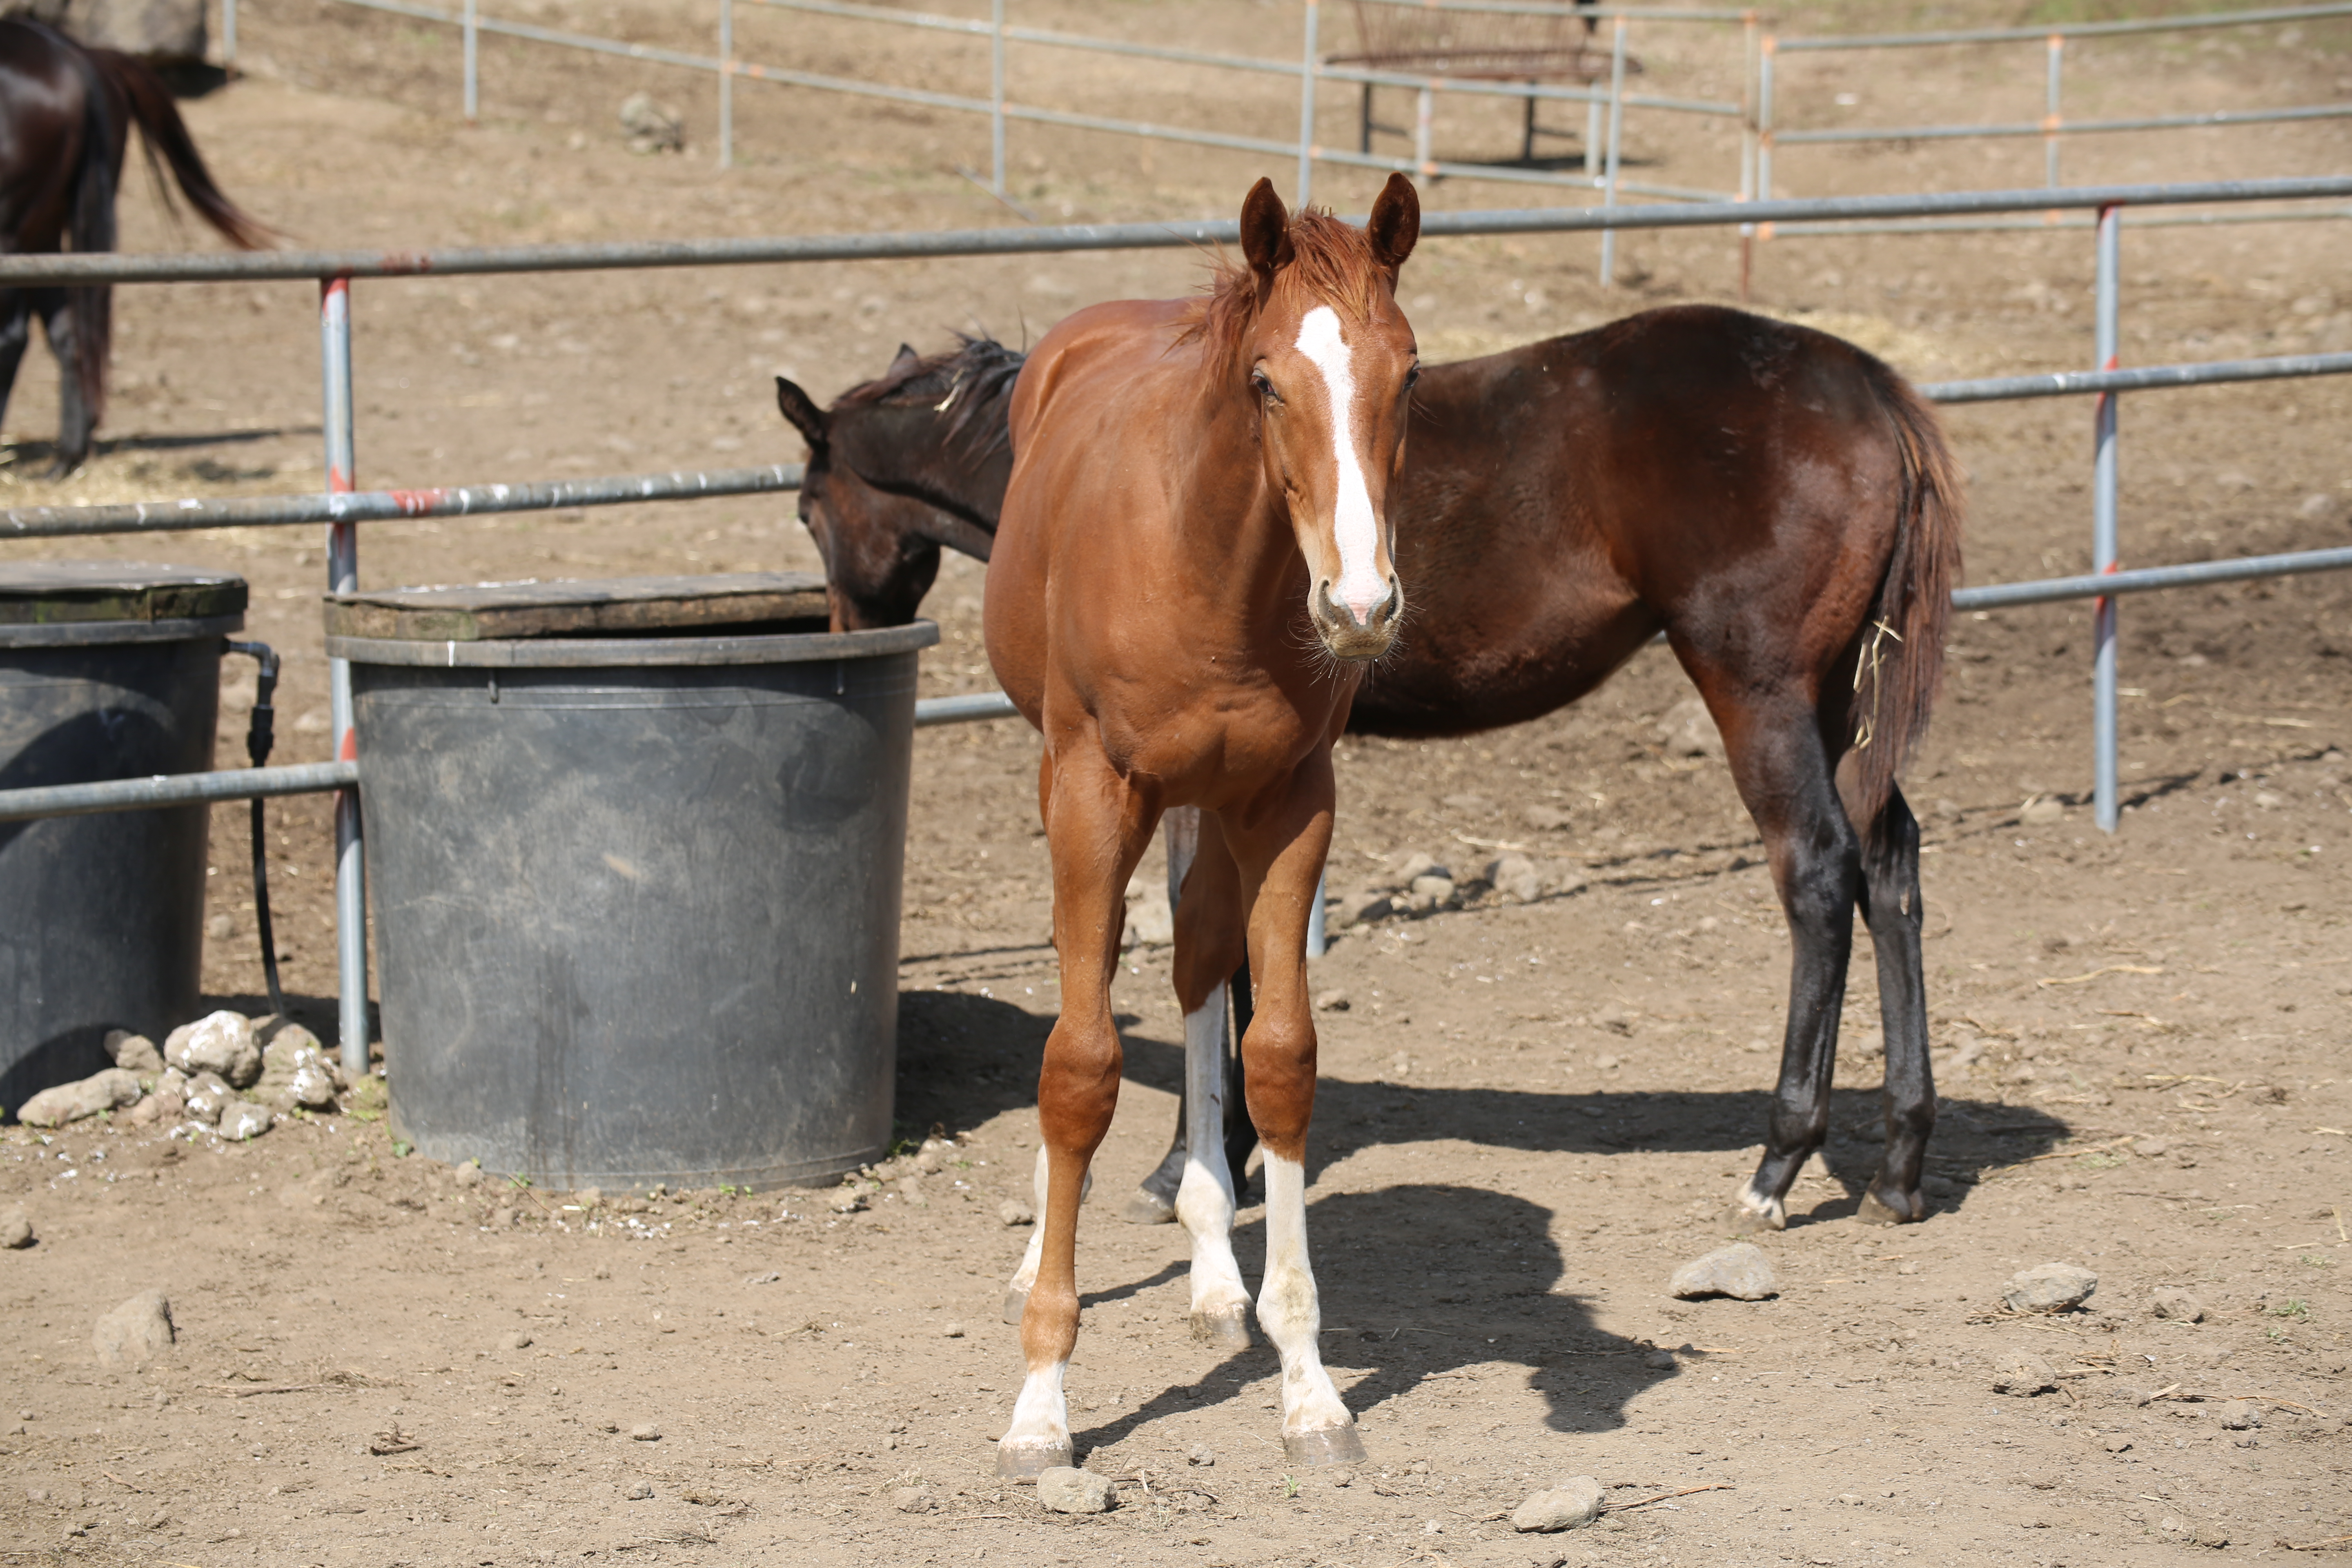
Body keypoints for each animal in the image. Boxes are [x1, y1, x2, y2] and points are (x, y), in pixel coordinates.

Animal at [0, 18, 268, 474]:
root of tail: (75, 57)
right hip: (43, 231)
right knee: (68, 330)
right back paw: (67, 455)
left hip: (16, 230)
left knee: (15, 336)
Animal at [781, 301, 1957, 1241]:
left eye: (804, 507)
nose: (841, 632)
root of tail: (1871, 388)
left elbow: (1213, 953)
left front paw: (1190, 1165)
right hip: (1840, 697)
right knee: (1891, 862)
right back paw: (1900, 1163)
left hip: (1760, 690)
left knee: (1819, 873)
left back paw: (1779, 1162)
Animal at [983, 177, 1421, 1476]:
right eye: (1267, 380)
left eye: (1410, 376)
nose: (1361, 605)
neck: (1208, 563)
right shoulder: (1091, 792)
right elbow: (1079, 1064)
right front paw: (1041, 1404)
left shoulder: (1288, 801)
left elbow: (1275, 1057)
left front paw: (1308, 1386)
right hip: (1070, 779)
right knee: (1096, 988)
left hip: (1204, 810)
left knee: (1191, 964)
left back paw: (1214, 1264)